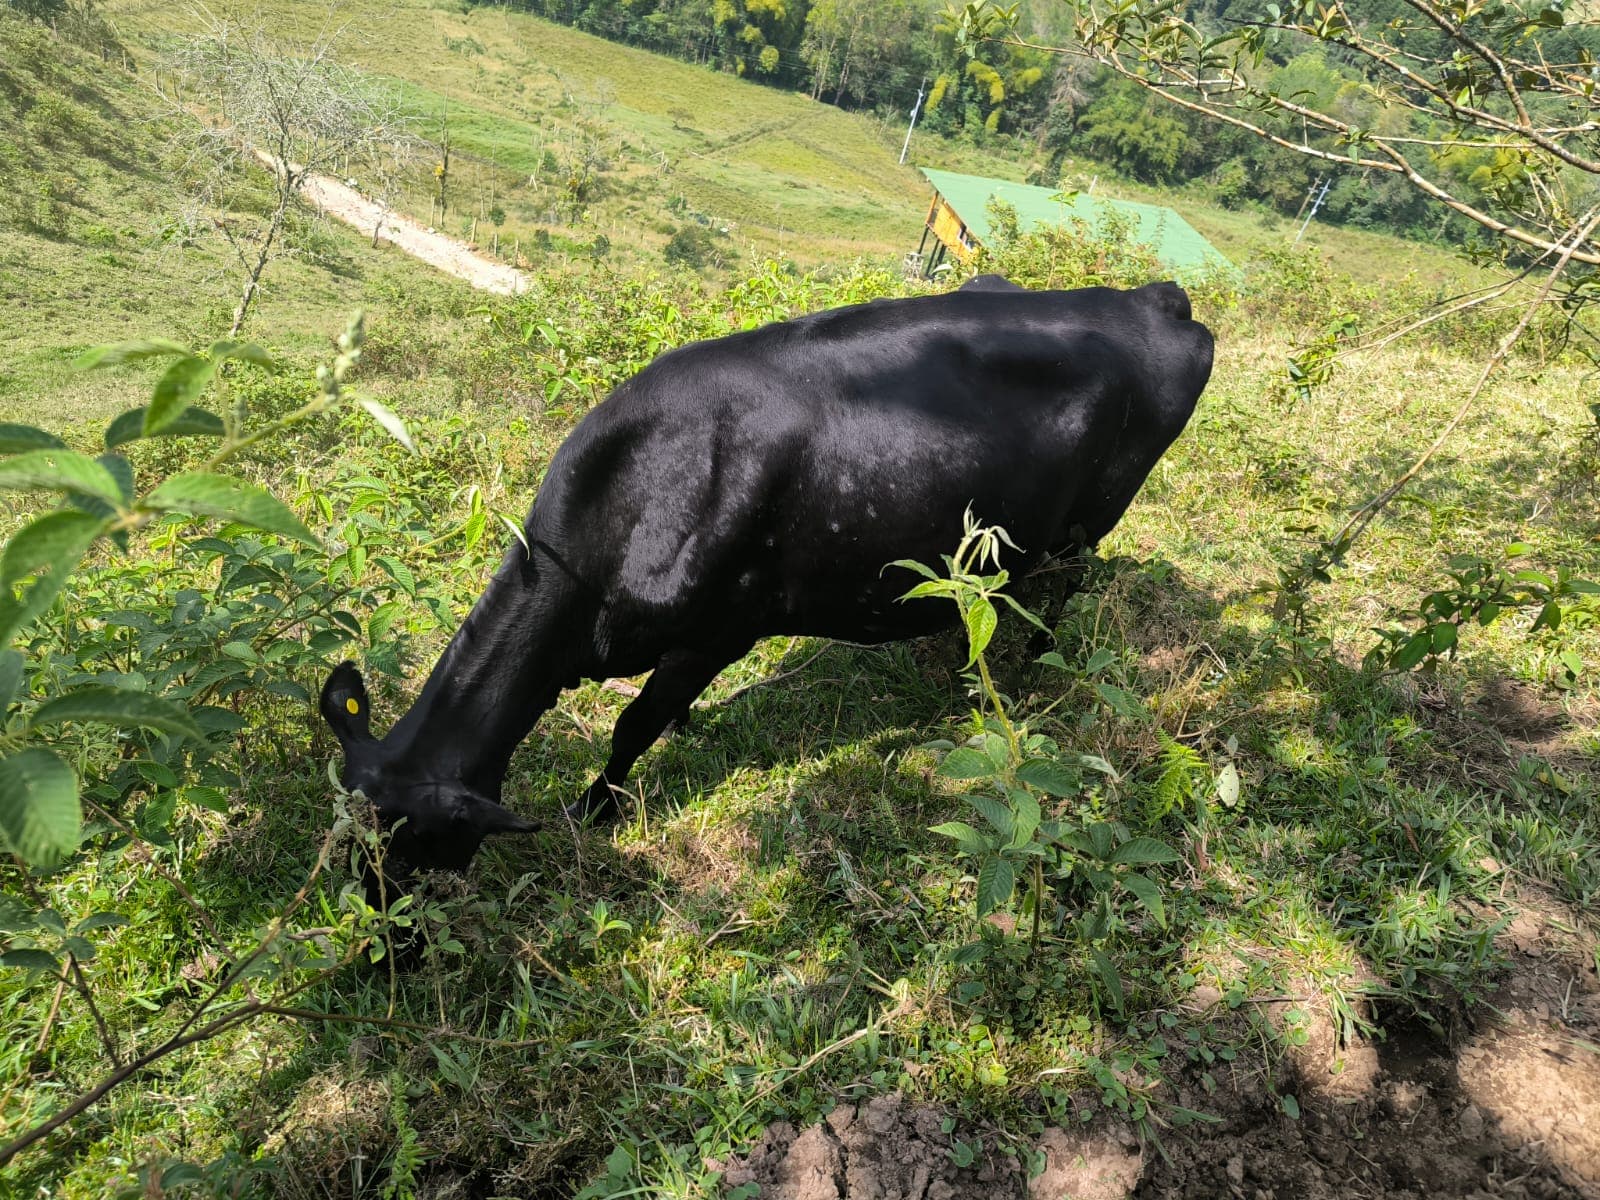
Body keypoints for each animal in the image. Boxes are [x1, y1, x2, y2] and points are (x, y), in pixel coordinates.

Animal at [319, 276, 1214, 897]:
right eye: (353, 839)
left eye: (416, 846)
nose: (382, 942)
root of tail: (1152, 296)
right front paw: (682, 731)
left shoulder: (723, 629)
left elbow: (632, 726)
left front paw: (598, 807)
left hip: (1086, 527)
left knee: (1064, 587)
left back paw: (1027, 666)